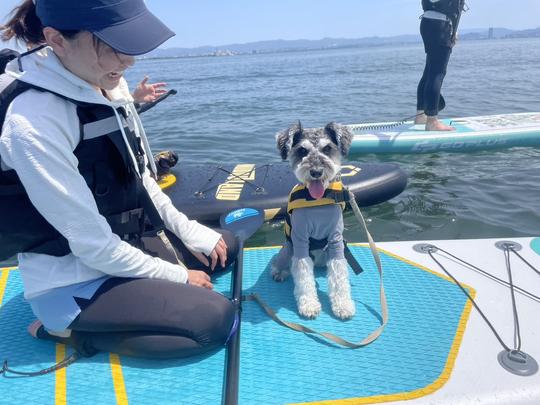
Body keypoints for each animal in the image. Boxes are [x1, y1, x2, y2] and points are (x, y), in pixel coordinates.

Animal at [272, 120, 356, 318]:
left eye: (328, 148)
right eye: (302, 150)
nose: (316, 171)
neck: (317, 200)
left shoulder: (336, 241)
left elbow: (339, 274)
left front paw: (343, 305)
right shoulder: (300, 241)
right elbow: (303, 275)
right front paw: (309, 305)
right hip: (287, 249)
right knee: (279, 264)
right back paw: (280, 273)